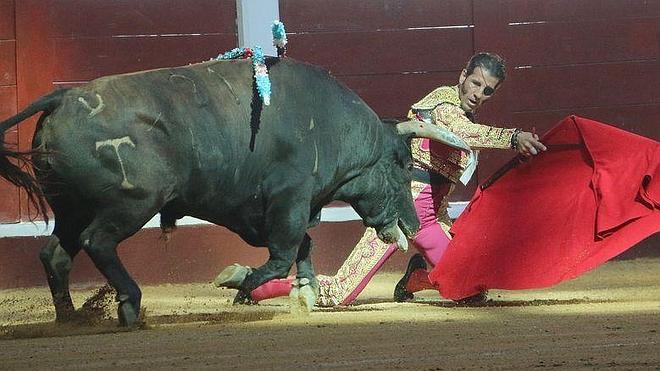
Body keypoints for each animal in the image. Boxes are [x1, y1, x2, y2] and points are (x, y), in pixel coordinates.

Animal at [0, 56, 464, 326]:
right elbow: (284, 253)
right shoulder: (288, 201)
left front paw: (304, 293)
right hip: (130, 205)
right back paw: (129, 305)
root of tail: (62, 98)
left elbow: (304, 246)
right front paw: (247, 289)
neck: (333, 125)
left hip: (70, 207)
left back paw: (70, 316)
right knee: (97, 241)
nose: (413, 223)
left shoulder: (289, 206)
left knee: (56, 252)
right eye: (403, 165)